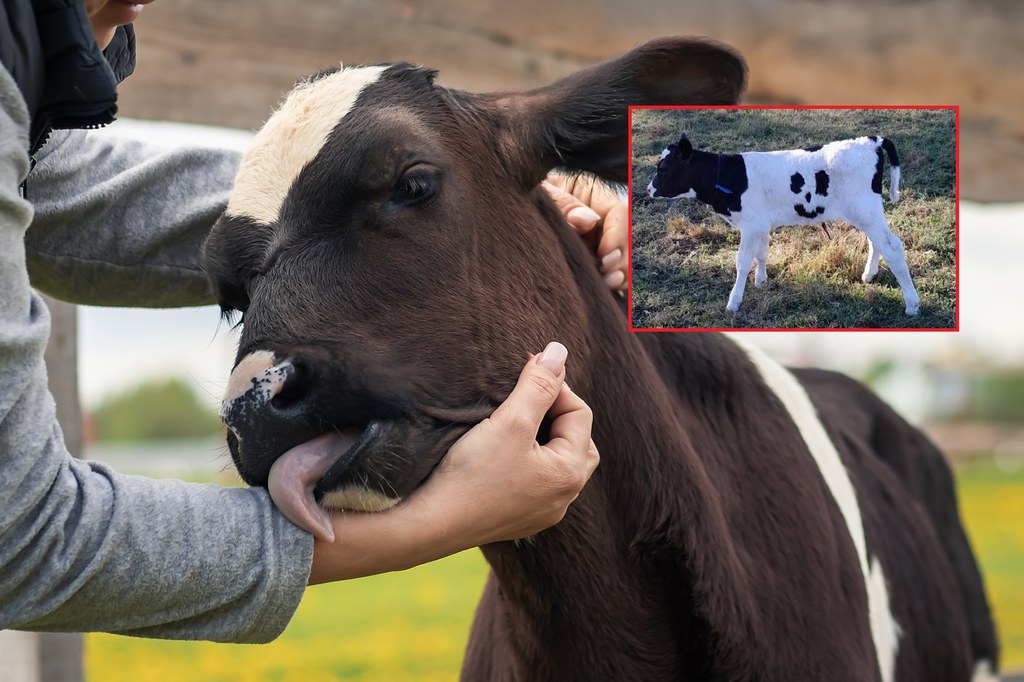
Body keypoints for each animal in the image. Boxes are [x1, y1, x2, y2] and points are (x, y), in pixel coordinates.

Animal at [647, 131, 921, 315]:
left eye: (664, 169)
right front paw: (761, 280)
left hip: (865, 210)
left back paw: (912, 304)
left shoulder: (750, 225)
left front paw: (733, 302)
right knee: (878, 242)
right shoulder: (760, 223)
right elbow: (761, 253)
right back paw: (869, 275)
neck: (728, 176)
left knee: (893, 247)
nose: (648, 189)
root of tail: (871, 140)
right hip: (866, 212)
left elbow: (742, 262)